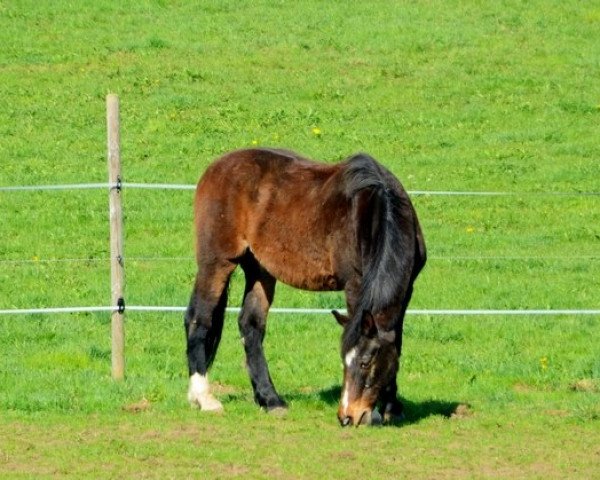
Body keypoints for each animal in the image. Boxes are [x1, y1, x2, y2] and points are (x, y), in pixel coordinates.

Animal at [185, 148, 424, 426]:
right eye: (345, 360)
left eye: (365, 363)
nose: (347, 416)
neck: (374, 211)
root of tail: (215, 168)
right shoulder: (354, 286)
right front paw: (376, 413)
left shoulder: (408, 289)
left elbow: (396, 342)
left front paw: (391, 407)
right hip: (217, 263)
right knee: (198, 319)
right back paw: (204, 398)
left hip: (260, 269)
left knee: (250, 326)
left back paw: (270, 400)